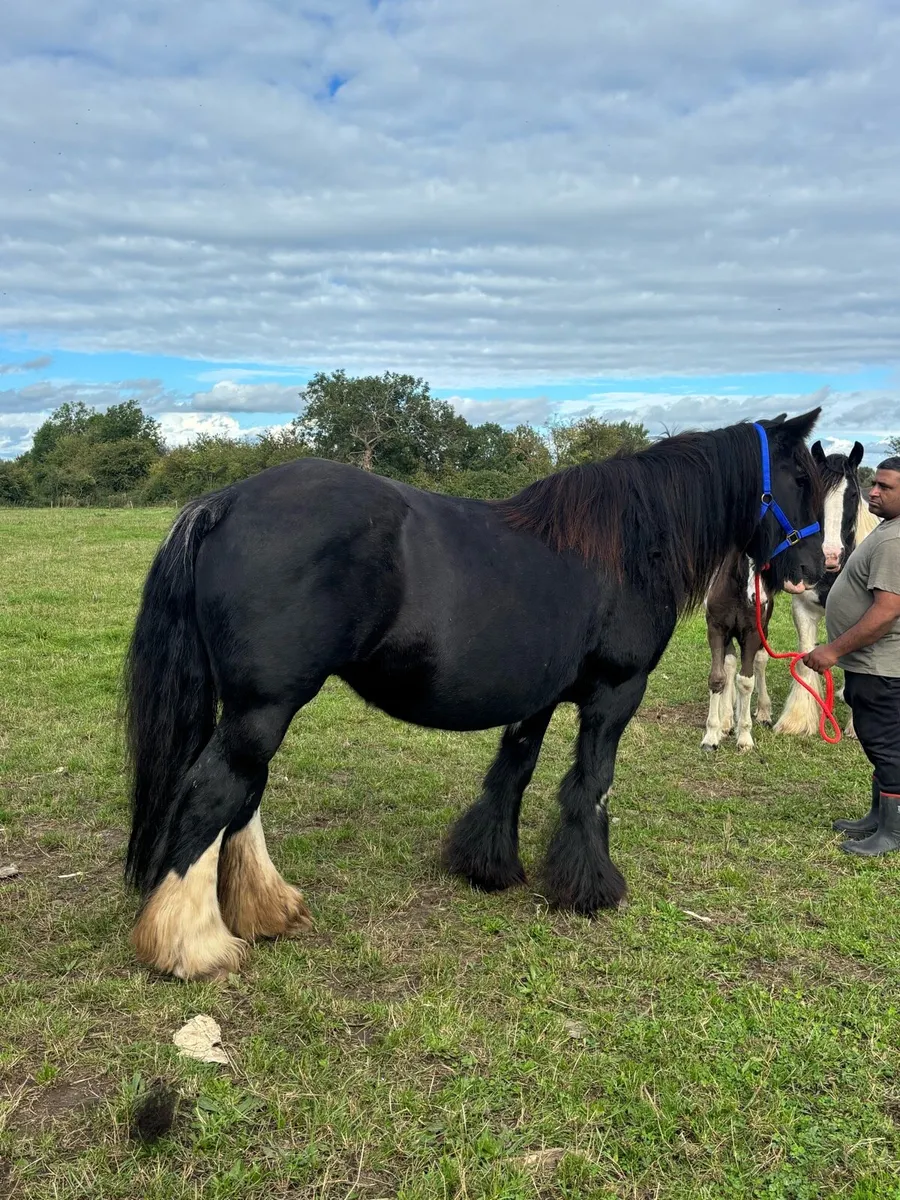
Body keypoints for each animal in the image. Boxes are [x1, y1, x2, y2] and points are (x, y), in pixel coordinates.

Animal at [125, 411, 824, 981]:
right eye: (800, 474)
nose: (813, 572)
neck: (627, 544)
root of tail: (225, 501)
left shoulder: (537, 698)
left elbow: (511, 774)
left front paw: (487, 866)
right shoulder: (614, 695)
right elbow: (590, 787)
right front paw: (591, 888)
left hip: (254, 710)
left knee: (242, 798)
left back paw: (266, 910)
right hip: (264, 708)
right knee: (215, 794)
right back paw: (192, 948)